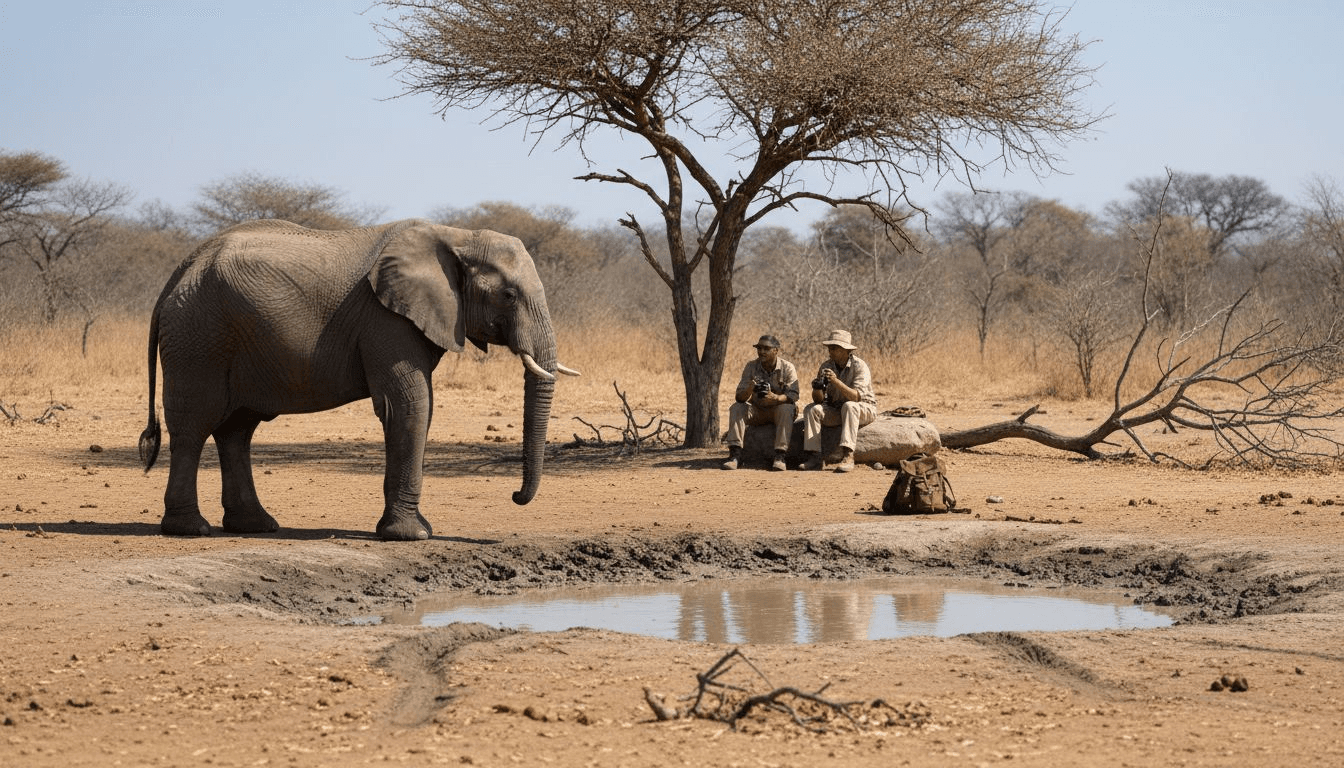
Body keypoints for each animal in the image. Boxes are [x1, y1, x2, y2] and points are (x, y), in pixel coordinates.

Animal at [138, 218, 578, 541]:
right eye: (508, 296)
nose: (515, 496)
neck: (458, 236)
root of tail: (179, 272)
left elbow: (422, 407)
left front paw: (416, 530)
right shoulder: (386, 319)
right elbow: (409, 405)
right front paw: (411, 536)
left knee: (237, 430)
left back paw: (256, 526)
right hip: (199, 337)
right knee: (194, 425)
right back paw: (191, 529)